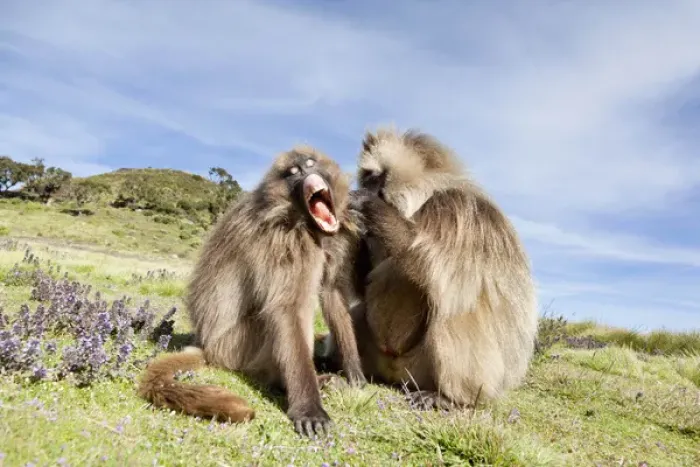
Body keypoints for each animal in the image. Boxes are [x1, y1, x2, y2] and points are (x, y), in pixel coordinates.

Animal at [138, 145, 366, 437]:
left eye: (310, 163)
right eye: (292, 173)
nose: (306, 174)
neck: (302, 224)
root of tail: (207, 347)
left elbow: (331, 292)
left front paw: (355, 373)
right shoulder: (281, 241)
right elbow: (287, 308)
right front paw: (308, 409)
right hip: (235, 346)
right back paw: (288, 383)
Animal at [322, 126, 539, 411]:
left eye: (375, 178)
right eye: (367, 177)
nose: (363, 188)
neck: (423, 200)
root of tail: (394, 373)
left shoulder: (460, 212)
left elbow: (440, 272)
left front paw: (370, 208)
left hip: (441, 372)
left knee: (451, 313)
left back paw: (447, 398)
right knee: (358, 314)